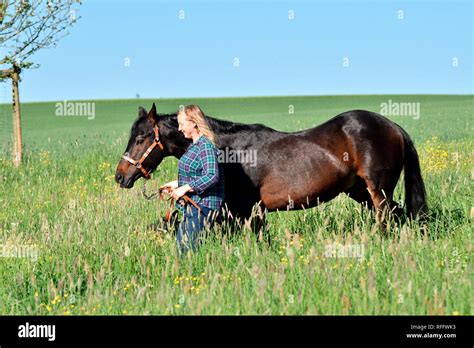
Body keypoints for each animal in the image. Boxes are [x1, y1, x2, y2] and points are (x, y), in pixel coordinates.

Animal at [115, 104, 426, 231]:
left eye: (141, 138)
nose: (120, 176)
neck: (230, 151)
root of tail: (393, 126)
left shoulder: (247, 209)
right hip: (359, 191)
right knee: (398, 214)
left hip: (378, 191)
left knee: (387, 218)